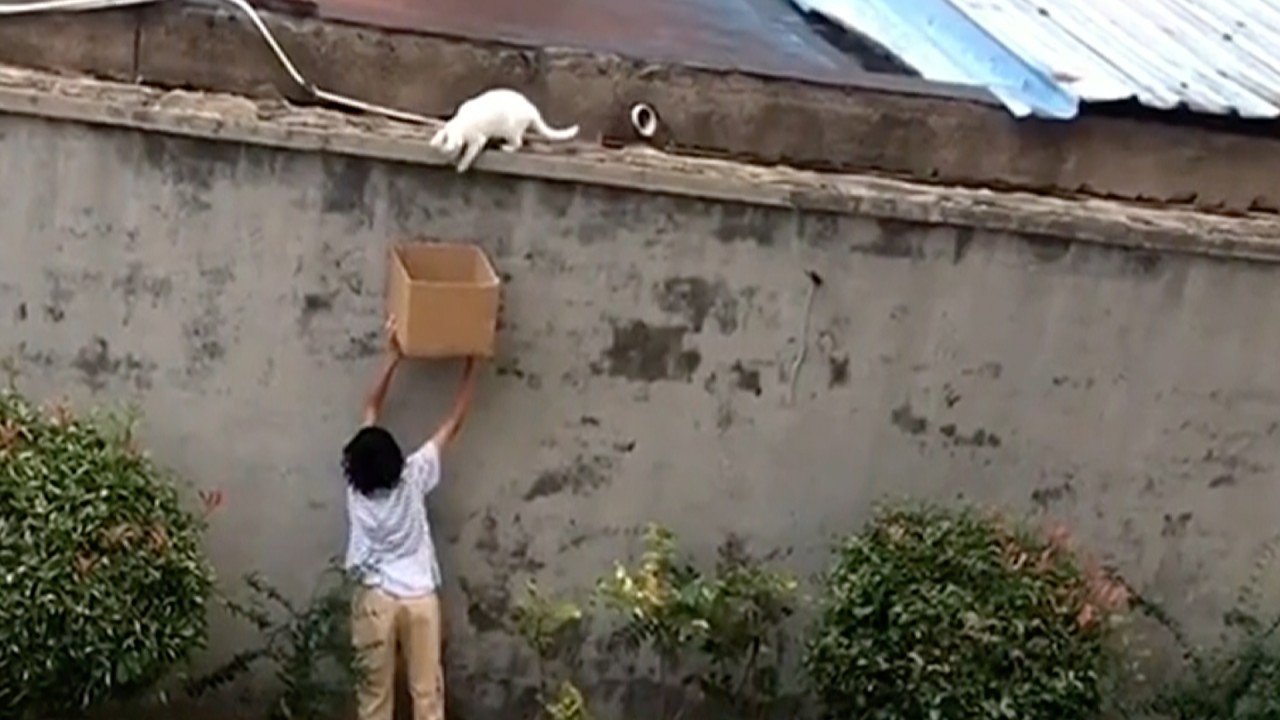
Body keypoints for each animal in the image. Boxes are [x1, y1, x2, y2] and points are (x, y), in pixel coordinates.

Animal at [430, 89, 581, 172]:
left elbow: (470, 153)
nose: (447, 162)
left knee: (518, 143)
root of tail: (532, 109)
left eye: (449, 152)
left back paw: (506, 147)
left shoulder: (478, 139)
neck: (460, 123)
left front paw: (461, 166)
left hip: (511, 129)